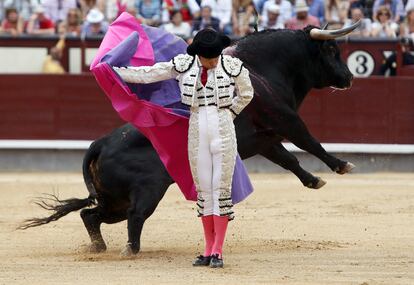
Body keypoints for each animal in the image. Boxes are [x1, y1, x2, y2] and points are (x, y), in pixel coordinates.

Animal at [20, 25, 356, 254]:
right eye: (332, 51)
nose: (350, 78)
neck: (264, 68)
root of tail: (99, 144)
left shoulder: (267, 139)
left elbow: (290, 159)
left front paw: (314, 180)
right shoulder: (285, 120)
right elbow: (310, 142)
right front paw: (341, 165)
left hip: (114, 197)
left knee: (91, 215)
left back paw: (99, 248)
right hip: (146, 191)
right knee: (133, 216)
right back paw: (131, 251)